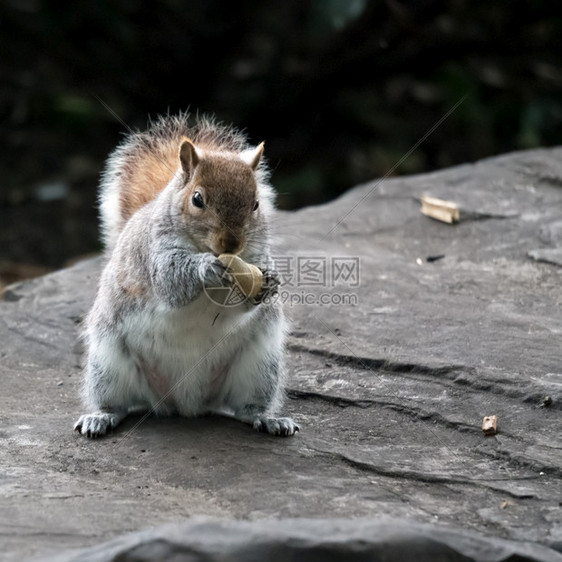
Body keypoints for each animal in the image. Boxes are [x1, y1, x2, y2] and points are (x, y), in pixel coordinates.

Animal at [74, 112, 298, 438]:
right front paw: (206, 268)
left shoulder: (255, 257)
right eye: (197, 199)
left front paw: (270, 283)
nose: (231, 244)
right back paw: (100, 417)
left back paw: (268, 419)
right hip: (109, 363)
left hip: (259, 366)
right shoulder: (154, 253)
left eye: (256, 204)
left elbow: (245, 303)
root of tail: (185, 403)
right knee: (116, 403)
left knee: (246, 408)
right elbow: (171, 281)